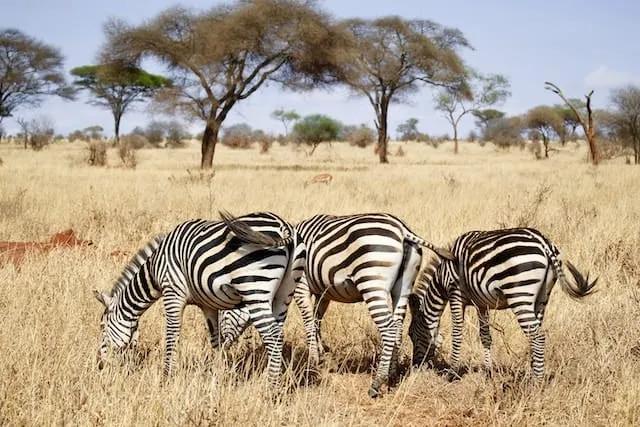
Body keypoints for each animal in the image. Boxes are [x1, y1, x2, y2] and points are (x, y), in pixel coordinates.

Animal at [93, 212, 301, 386]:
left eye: (102, 326)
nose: (99, 364)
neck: (154, 269)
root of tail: (283, 226)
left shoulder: (173, 292)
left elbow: (172, 334)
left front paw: (167, 377)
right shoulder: (208, 304)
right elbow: (216, 340)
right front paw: (217, 376)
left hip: (255, 288)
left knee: (273, 336)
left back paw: (270, 388)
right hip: (284, 295)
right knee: (278, 333)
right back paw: (274, 382)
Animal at [222, 213, 453, 398]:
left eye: (224, 314)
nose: (223, 349)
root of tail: (403, 229)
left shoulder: (301, 285)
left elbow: (308, 320)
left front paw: (313, 359)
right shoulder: (323, 291)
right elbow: (317, 319)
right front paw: (321, 352)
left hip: (372, 282)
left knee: (388, 328)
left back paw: (377, 382)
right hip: (403, 287)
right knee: (396, 326)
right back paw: (391, 374)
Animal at [408, 227, 597, 380]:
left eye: (411, 334)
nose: (415, 367)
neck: (441, 278)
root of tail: (544, 243)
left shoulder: (456, 294)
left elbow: (457, 334)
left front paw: (452, 372)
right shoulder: (481, 304)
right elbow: (485, 337)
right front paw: (488, 372)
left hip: (520, 295)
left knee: (538, 336)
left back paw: (537, 382)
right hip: (542, 296)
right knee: (535, 334)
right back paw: (534, 372)